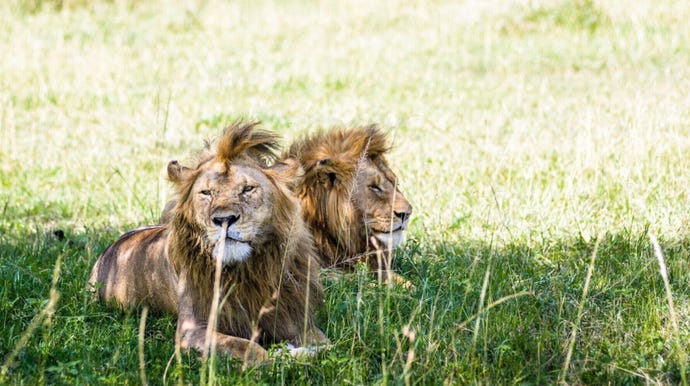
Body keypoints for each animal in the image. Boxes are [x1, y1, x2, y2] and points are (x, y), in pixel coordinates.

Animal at [87, 122, 330, 364]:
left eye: (247, 189)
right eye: (206, 193)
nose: (224, 219)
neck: (246, 271)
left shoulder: (295, 319)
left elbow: (327, 344)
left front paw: (305, 352)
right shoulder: (191, 329)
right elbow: (249, 348)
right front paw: (278, 357)